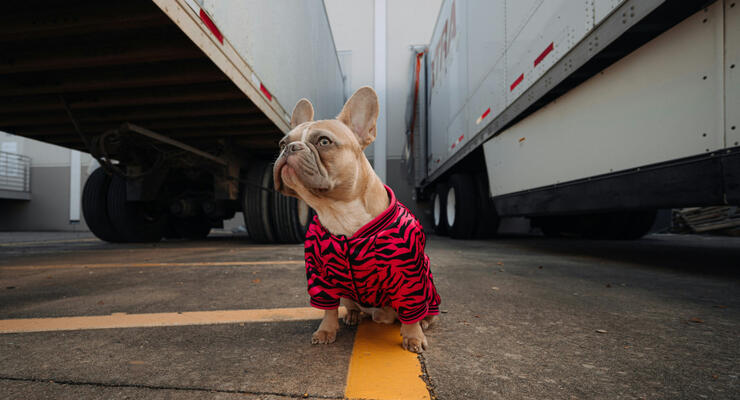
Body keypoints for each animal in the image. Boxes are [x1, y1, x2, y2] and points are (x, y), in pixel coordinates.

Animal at [276, 86, 440, 352]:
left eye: (324, 142)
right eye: (282, 143)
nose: (290, 149)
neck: (339, 210)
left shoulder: (408, 276)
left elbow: (410, 310)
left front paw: (413, 336)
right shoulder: (320, 275)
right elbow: (328, 308)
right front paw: (326, 330)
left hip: (430, 290)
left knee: (425, 310)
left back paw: (425, 321)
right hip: (346, 293)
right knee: (351, 305)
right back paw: (352, 315)